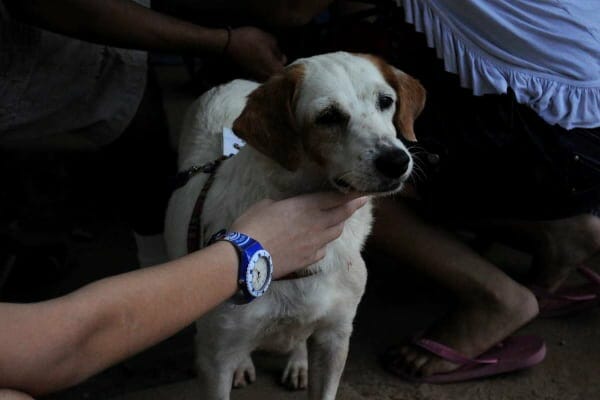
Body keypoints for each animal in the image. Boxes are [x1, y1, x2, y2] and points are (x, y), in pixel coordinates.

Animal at [165, 51, 426, 398]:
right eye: (328, 117)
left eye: (386, 101)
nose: (396, 162)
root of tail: (230, 81)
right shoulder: (215, 358)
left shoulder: (335, 336)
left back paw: (298, 362)